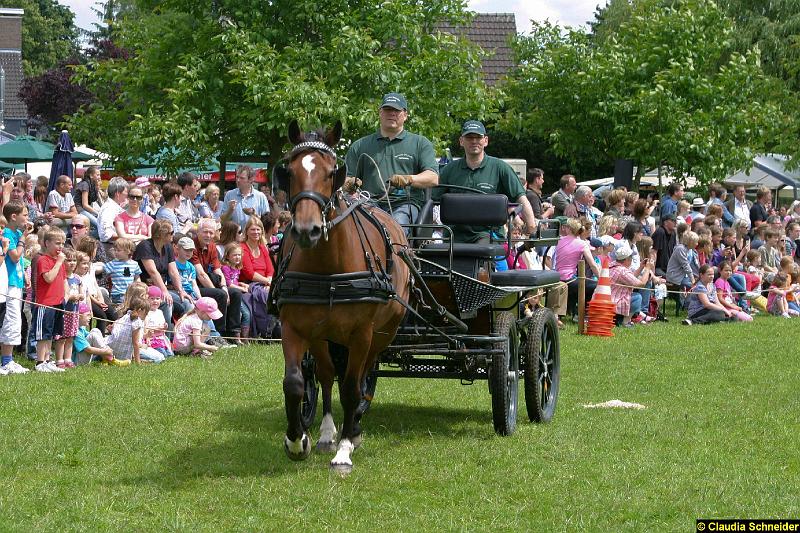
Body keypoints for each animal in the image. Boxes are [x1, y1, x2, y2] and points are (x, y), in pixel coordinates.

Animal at [276, 120, 412, 474]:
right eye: (289, 171)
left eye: (331, 172)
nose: (306, 230)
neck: (329, 269)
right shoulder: (295, 327)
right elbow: (295, 382)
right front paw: (298, 440)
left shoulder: (361, 333)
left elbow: (351, 388)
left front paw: (345, 449)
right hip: (322, 335)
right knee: (326, 374)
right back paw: (326, 432)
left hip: (382, 332)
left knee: (363, 376)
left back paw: (356, 426)